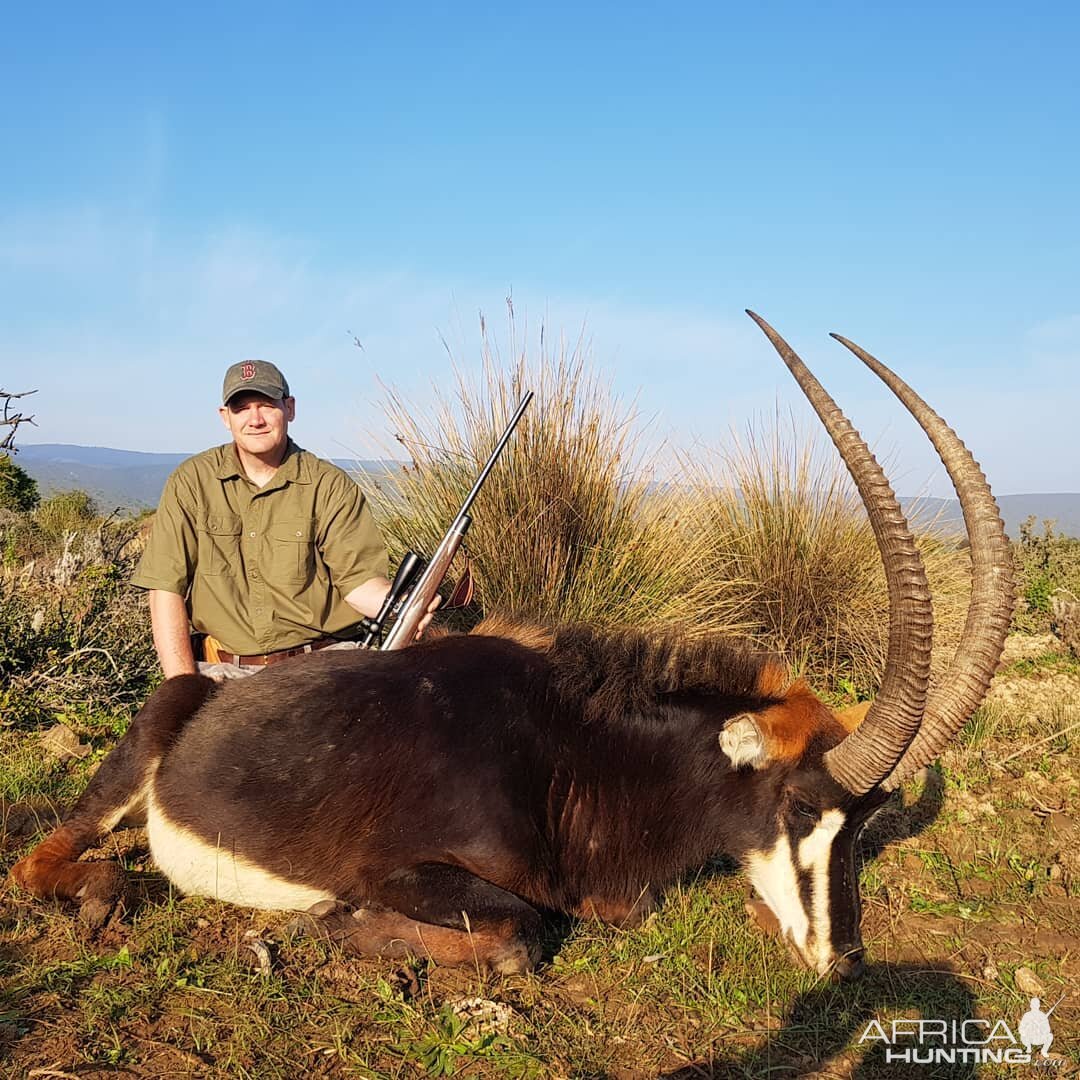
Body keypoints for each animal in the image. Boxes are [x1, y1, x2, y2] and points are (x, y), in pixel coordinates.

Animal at [12, 315, 1015, 980]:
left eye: (867, 826)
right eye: (803, 805)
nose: (846, 960)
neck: (573, 753)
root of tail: (211, 691)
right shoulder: (410, 869)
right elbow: (521, 937)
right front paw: (325, 925)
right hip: (143, 746)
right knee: (41, 860)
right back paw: (105, 892)